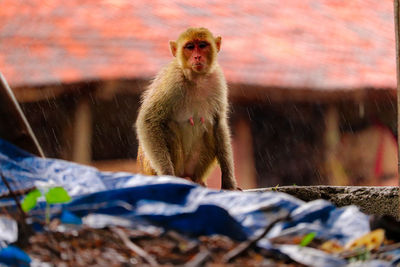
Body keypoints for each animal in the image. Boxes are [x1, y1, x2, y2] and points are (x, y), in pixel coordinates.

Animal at [136, 27, 238, 191]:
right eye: (190, 47)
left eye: (202, 45)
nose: (197, 56)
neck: (196, 78)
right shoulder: (172, 79)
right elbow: (148, 120)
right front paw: (167, 175)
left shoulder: (217, 78)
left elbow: (219, 123)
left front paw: (229, 182)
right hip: (152, 169)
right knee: (167, 126)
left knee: (210, 127)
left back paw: (196, 181)